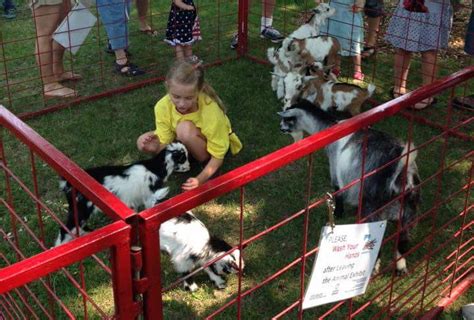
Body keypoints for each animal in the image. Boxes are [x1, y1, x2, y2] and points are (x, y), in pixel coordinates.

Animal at [54, 142, 190, 245]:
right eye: (183, 158)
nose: (189, 166)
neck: (154, 167)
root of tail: (67, 182)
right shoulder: (149, 197)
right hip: (82, 208)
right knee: (65, 229)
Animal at [280, 99, 420, 274]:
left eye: (287, 119)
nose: (281, 128)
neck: (331, 129)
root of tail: (401, 173)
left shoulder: (335, 168)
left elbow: (337, 191)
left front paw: (338, 213)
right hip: (409, 213)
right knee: (403, 242)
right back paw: (401, 268)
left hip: (373, 210)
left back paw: (373, 268)